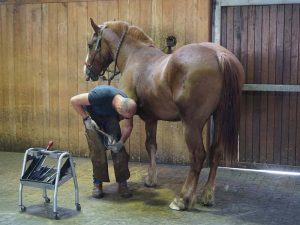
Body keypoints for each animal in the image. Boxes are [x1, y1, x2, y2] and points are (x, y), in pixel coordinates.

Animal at [83, 19, 245, 211]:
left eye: (90, 44)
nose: (87, 72)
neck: (134, 57)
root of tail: (219, 55)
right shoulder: (151, 118)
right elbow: (151, 145)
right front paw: (151, 179)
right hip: (219, 118)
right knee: (217, 152)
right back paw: (207, 195)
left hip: (192, 124)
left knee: (198, 156)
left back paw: (182, 199)